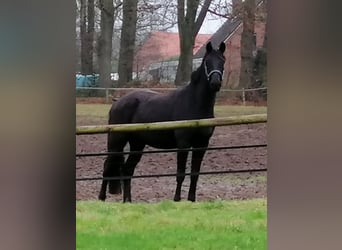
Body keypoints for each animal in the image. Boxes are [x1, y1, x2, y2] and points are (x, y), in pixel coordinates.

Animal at [99, 40, 226, 201]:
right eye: (207, 62)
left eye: (222, 61)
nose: (215, 83)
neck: (195, 103)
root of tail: (117, 102)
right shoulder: (183, 144)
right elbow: (180, 174)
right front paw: (177, 199)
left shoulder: (202, 144)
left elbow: (195, 174)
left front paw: (191, 199)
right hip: (116, 141)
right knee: (107, 166)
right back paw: (101, 198)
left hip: (137, 144)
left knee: (127, 170)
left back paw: (127, 201)